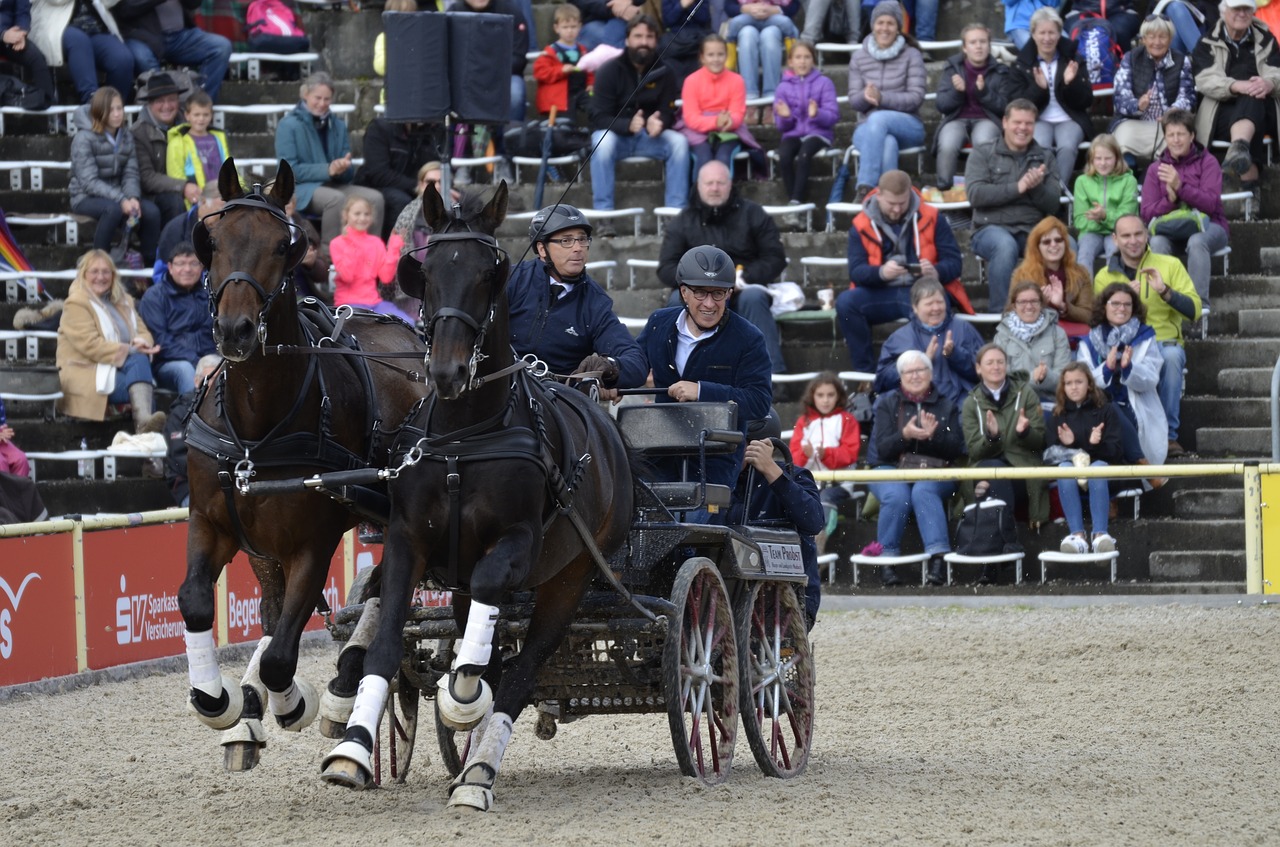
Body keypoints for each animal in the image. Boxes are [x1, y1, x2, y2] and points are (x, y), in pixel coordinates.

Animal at [175, 157, 430, 767]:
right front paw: (220, 700)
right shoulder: (214, 521)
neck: (256, 427)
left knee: (384, 586)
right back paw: (249, 710)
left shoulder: (313, 540)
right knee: (280, 607)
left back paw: (343, 687)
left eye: (283, 245)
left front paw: (297, 703)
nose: (235, 330)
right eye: (212, 241)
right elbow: (198, 603)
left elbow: (283, 654)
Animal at [322, 184, 637, 808]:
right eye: (427, 273)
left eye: (489, 272)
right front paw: (352, 748)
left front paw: (463, 696)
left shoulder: (516, 542)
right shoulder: (409, 540)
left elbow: (486, 654)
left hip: (570, 578)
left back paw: (478, 772)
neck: (465, 436)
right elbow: (386, 643)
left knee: (522, 669)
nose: (445, 370)